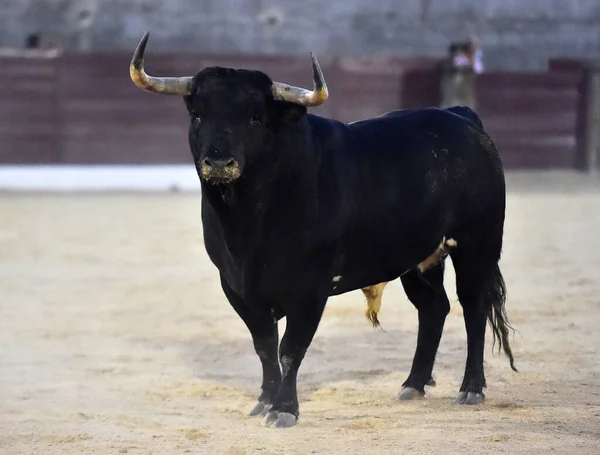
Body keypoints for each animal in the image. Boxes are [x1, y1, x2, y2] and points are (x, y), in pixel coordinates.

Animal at [130, 33, 516, 430]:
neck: (248, 225)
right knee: (434, 308)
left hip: (477, 244)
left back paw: (471, 388)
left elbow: (290, 349)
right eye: (197, 115)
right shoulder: (236, 286)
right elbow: (264, 346)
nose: (219, 162)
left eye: (255, 117)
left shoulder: (310, 288)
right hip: (419, 259)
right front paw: (265, 400)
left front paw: (285, 409)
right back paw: (413, 384)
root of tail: (461, 117)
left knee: (473, 308)